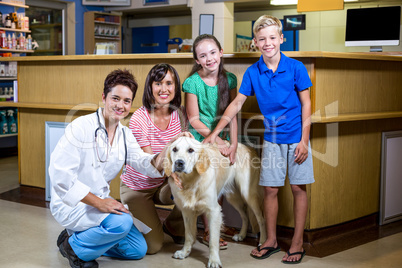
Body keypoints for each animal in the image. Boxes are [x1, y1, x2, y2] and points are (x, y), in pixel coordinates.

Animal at [163, 137, 266, 266]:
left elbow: (213, 240)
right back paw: (242, 235)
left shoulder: (214, 211)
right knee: (245, 216)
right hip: (233, 197)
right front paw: (184, 252)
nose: (179, 163)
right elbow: (189, 235)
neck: (191, 182)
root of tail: (248, 148)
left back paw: (262, 242)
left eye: (191, 150)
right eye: (174, 149)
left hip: (248, 194)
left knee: (261, 219)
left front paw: (214, 260)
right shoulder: (187, 212)